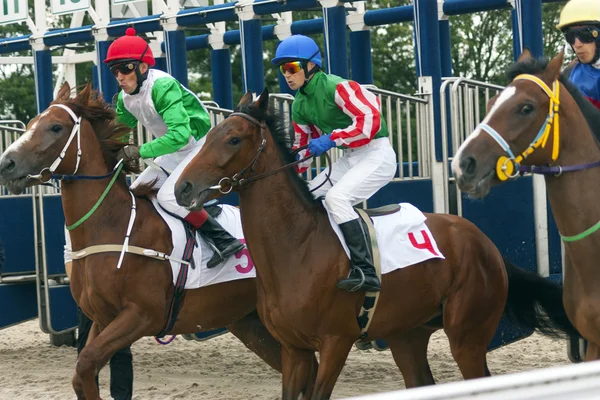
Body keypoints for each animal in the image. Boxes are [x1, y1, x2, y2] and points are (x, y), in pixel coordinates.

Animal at [0, 82, 294, 400]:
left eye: (56, 127)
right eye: (31, 122)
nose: (6, 163)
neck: (110, 224)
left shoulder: (141, 315)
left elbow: (86, 363)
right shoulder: (103, 317)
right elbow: (82, 374)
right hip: (250, 321)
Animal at [172, 89, 576, 398]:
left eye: (233, 139)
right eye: (208, 136)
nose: (183, 188)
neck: (297, 248)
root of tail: (485, 243)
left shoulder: (336, 341)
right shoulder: (294, 350)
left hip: (468, 336)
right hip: (408, 334)